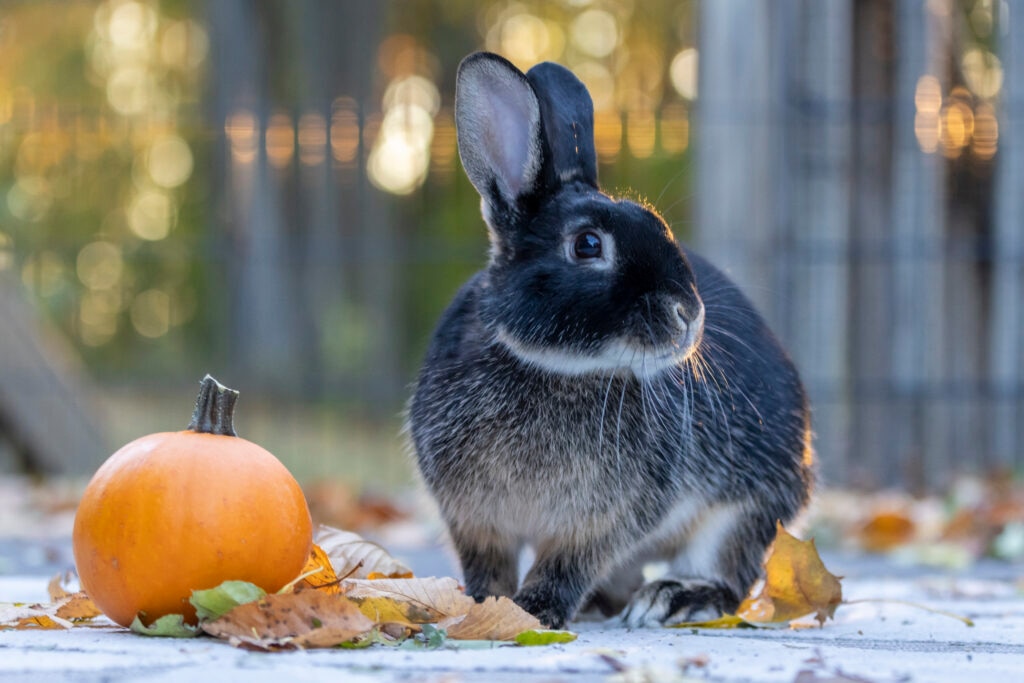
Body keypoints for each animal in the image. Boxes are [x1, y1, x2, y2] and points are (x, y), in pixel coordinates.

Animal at [408, 52, 815, 630]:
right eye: (587, 244)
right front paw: (484, 606)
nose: (689, 314)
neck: (554, 366)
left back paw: (671, 598)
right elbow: (488, 565)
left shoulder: (601, 526)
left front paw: (535, 610)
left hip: (745, 508)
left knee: (728, 573)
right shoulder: (475, 520)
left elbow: (568, 565)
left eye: (659, 226)